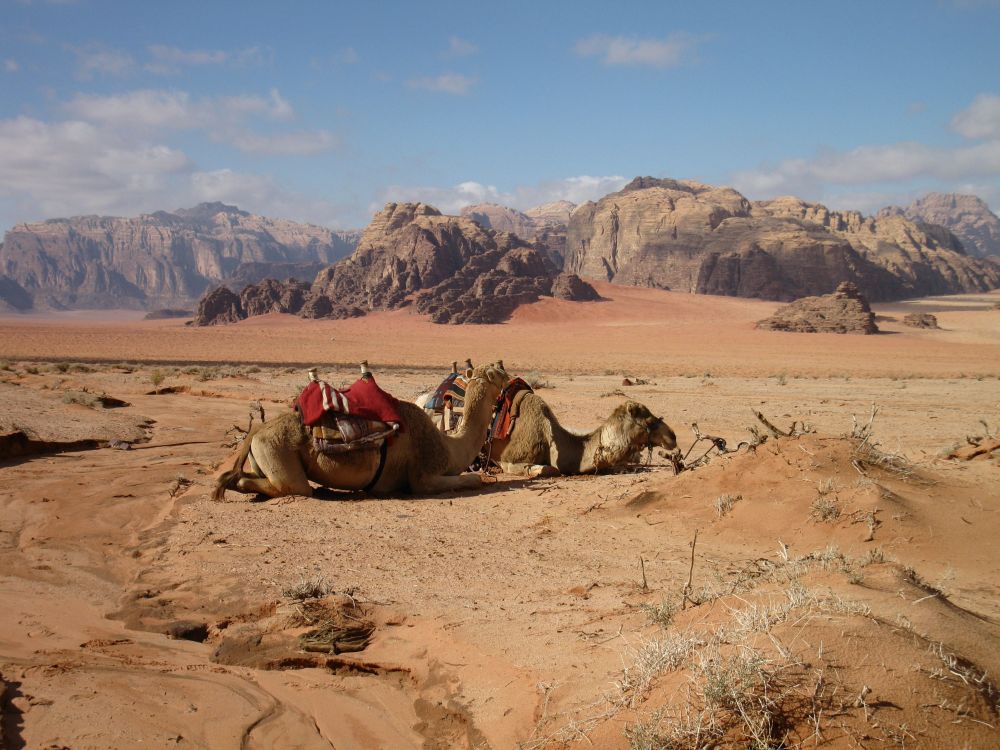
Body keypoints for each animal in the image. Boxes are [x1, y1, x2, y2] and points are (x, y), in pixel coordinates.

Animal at [211, 362, 508, 500]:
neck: (450, 447)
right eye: (497, 373)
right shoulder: (423, 476)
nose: (509, 374)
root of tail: (256, 432)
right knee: (290, 486)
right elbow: (473, 479)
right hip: (278, 453)